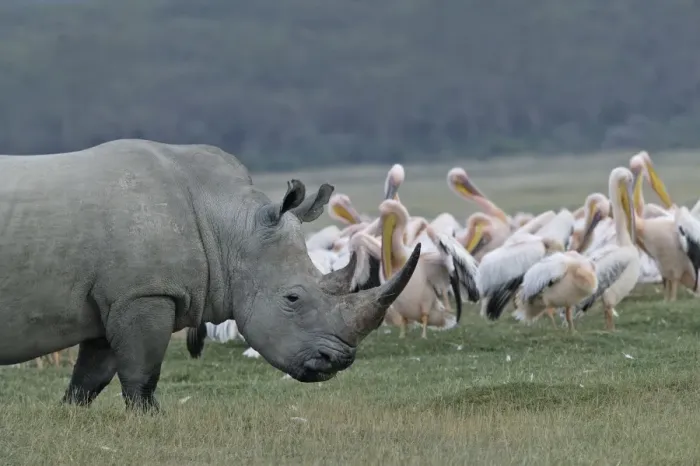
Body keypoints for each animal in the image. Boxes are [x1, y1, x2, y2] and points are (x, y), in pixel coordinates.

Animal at [0, 139, 420, 411]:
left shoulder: (117, 295)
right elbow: (141, 373)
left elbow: (91, 376)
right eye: (293, 299)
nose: (338, 361)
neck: (229, 227)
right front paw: (149, 420)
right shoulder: (146, 293)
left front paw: (70, 415)